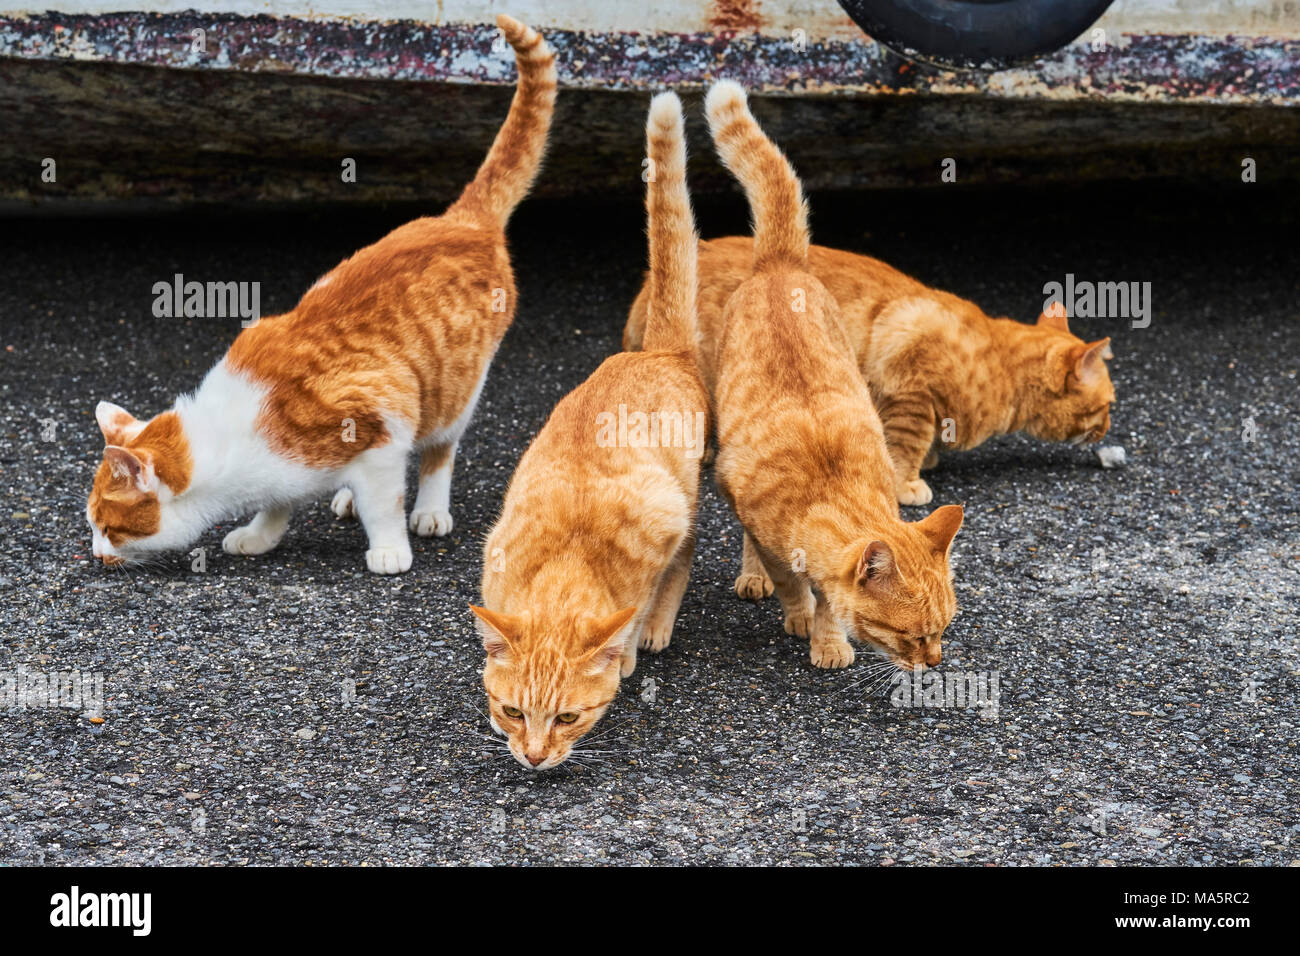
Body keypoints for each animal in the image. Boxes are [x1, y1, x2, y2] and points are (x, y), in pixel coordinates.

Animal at [85, 14, 553, 574]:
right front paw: (261, 535)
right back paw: (345, 496)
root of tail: (461, 219)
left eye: (109, 527)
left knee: (439, 450)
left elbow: (385, 503)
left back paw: (429, 508)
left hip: (451, 392)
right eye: (93, 526)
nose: (94, 554)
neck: (234, 439)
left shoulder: (379, 428)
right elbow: (277, 502)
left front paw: (389, 548)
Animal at [470, 93, 712, 775]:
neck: (565, 567)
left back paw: (655, 629)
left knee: (685, 558)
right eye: (513, 710)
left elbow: (640, 602)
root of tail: (658, 352)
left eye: (568, 719)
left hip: (685, 494)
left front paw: (627, 651)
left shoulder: (659, 532)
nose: (531, 758)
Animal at [702, 82, 967, 671]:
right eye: (912, 635)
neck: (830, 488)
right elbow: (793, 581)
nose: (936, 663)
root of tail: (780, 263)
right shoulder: (767, 531)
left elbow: (828, 596)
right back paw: (753, 576)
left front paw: (828, 636)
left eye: (945, 629)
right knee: (749, 543)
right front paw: (804, 618)